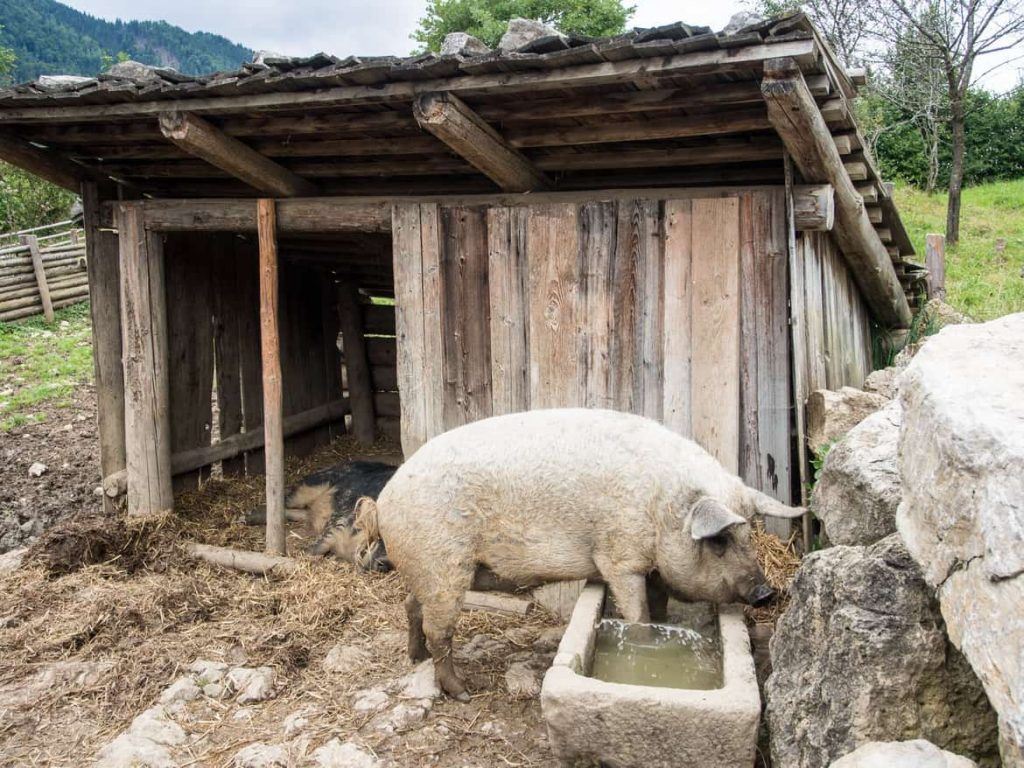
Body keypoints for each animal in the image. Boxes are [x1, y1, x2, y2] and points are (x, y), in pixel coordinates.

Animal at [356, 409, 802, 704]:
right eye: (719, 541)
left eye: (748, 532)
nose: (766, 593)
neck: (662, 509)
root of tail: (384, 500)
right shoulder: (619, 557)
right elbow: (639, 616)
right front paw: (645, 646)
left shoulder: (650, 567)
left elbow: (658, 607)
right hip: (444, 566)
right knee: (439, 630)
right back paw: (464, 692)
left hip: (430, 571)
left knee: (412, 606)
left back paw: (415, 658)